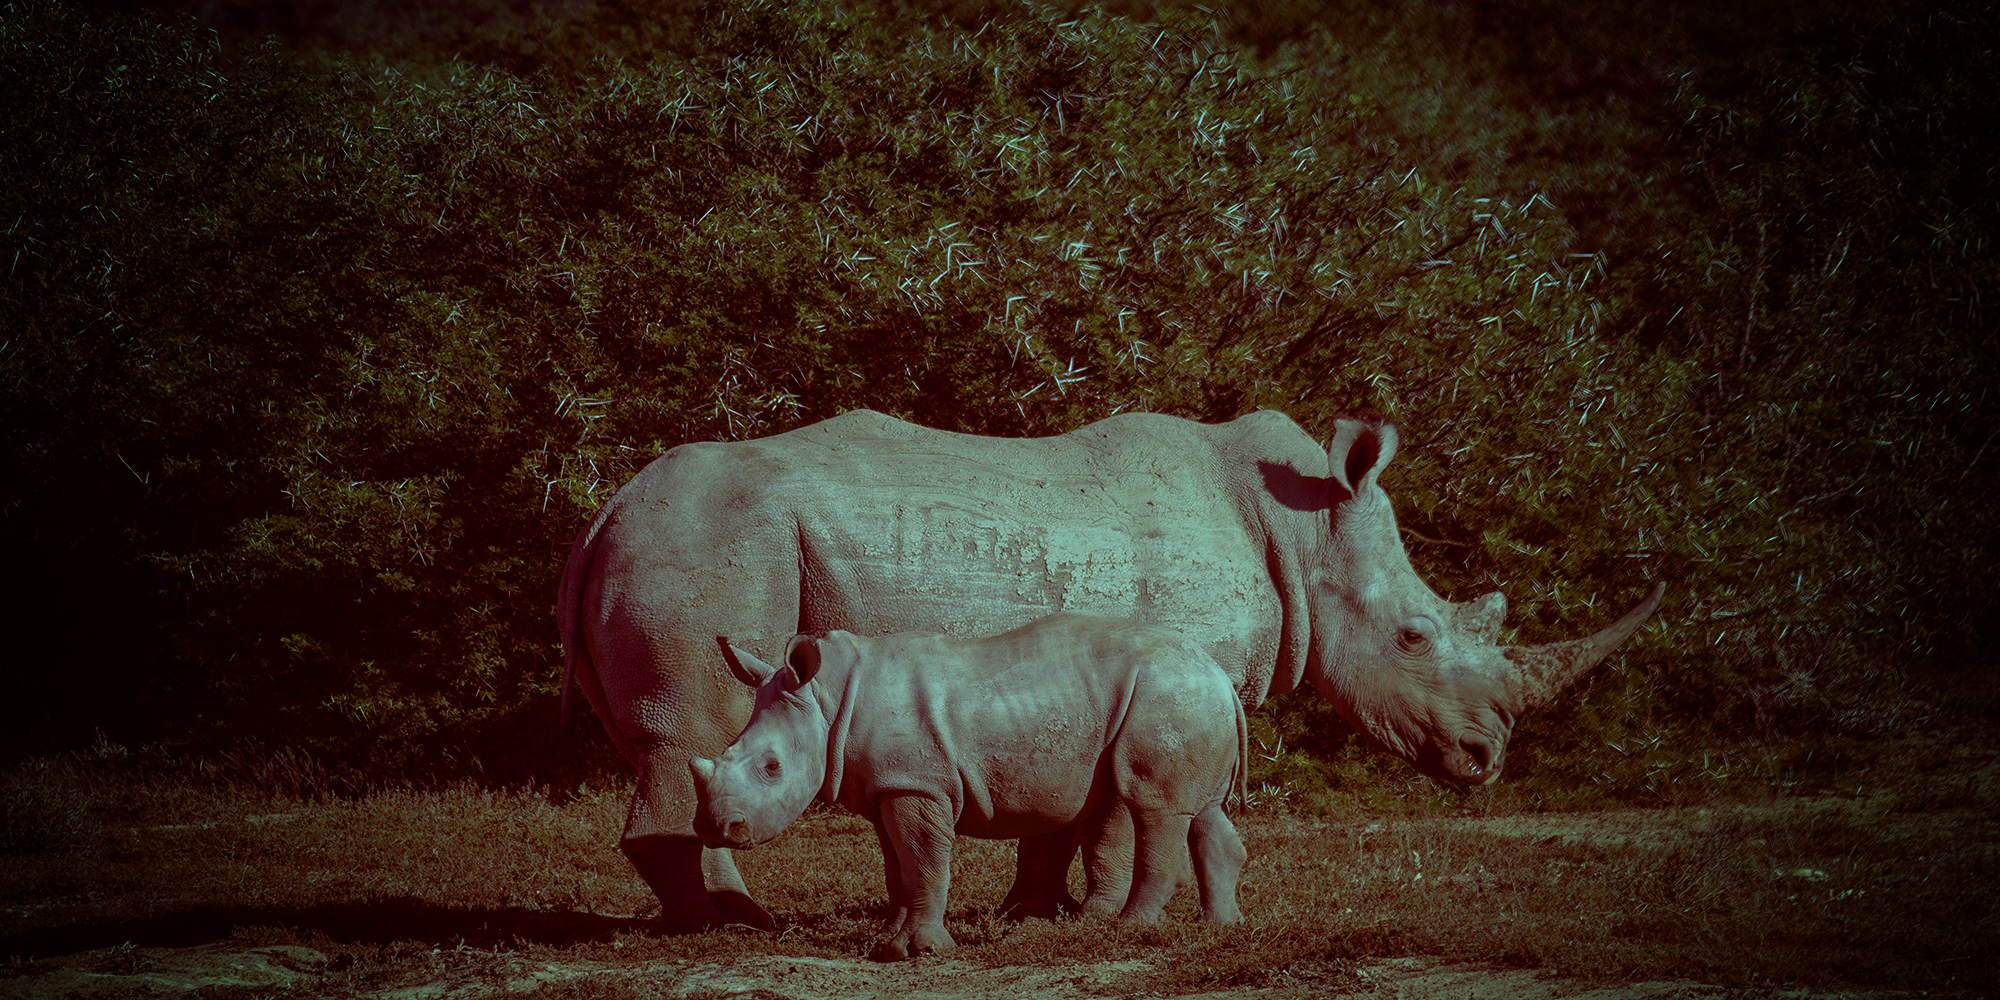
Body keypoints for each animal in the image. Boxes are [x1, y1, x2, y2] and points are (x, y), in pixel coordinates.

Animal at [690, 613, 1249, 959]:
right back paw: (1218, 927)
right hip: (1178, 699)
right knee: (1201, 811)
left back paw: (1131, 929)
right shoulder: (887, 787)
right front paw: (885, 943)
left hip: (1166, 693)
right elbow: (898, 868)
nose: (714, 827)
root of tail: (1221, 674)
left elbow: (923, 860)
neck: (828, 701)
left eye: (771, 767)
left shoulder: (918, 785)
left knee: (1154, 806)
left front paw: (921, 951)